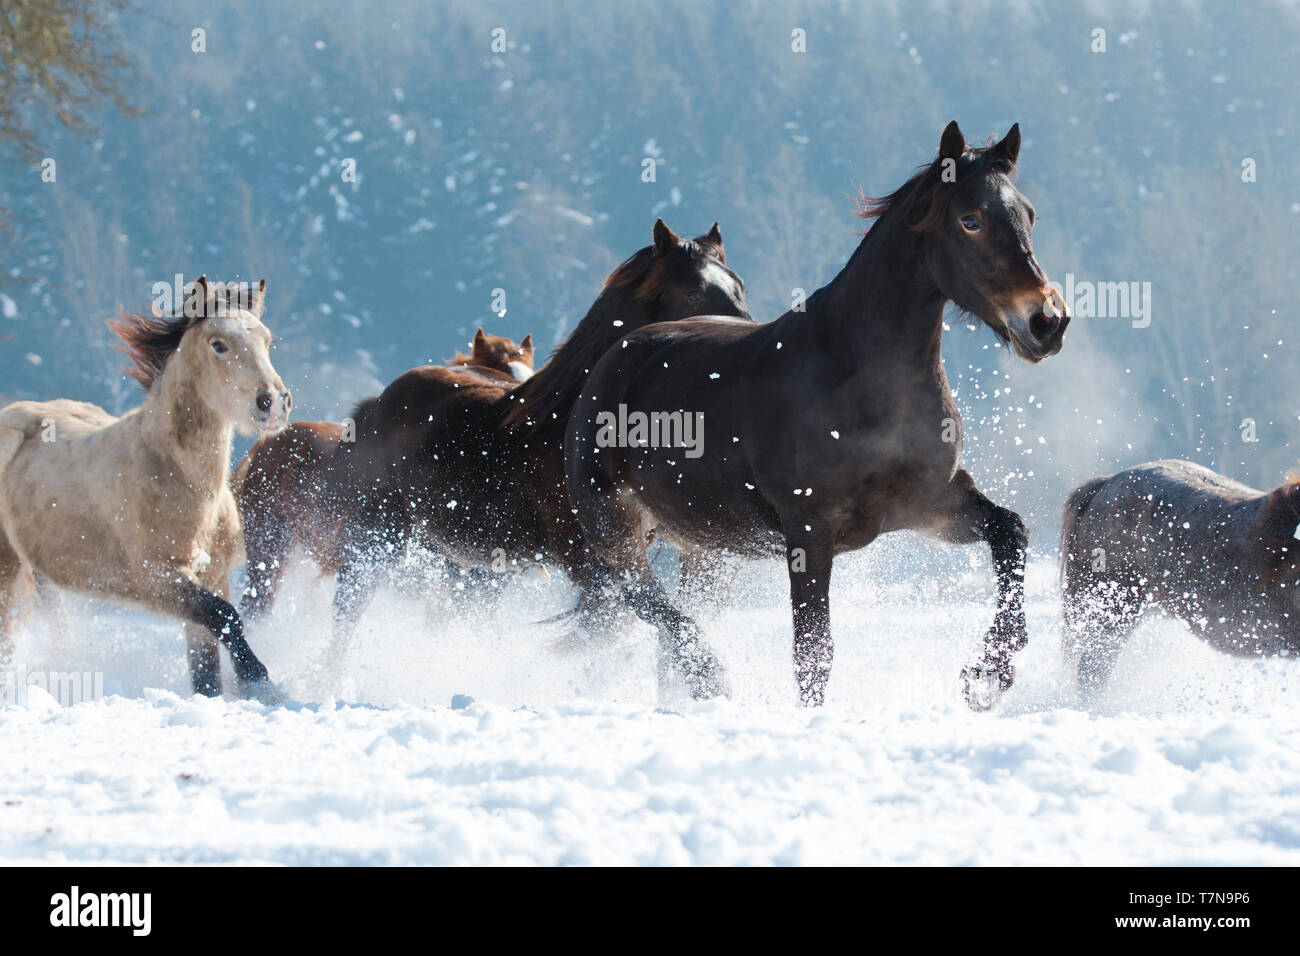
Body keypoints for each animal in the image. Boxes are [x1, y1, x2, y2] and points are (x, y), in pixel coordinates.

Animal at [0, 273, 289, 697]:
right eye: (218, 344)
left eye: (267, 341)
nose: (273, 402)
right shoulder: (158, 580)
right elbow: (225, 616)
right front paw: (260, 680)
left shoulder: (214, 575)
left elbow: (207, 668)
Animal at [564, 123, 1071, 707]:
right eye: (971, 219)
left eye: (1029, 215)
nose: (1047, 321)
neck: (860, 385)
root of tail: (616, 356)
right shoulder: (809, 532)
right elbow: (813, 653)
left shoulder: (931, 504)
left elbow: (1011, 532)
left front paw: (989, 670)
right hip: (614, 527)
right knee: (641, 597)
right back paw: (707, 674)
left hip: (700, 543)